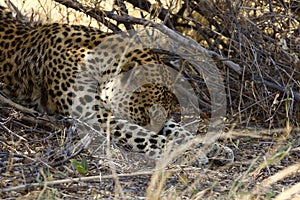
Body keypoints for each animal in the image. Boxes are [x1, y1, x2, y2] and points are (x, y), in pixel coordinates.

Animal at [0, 6, 233, 164]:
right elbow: (148, 137)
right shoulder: (98, 116)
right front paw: (188, 153)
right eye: (146, 113)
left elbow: (177, 130)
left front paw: (212, 147)